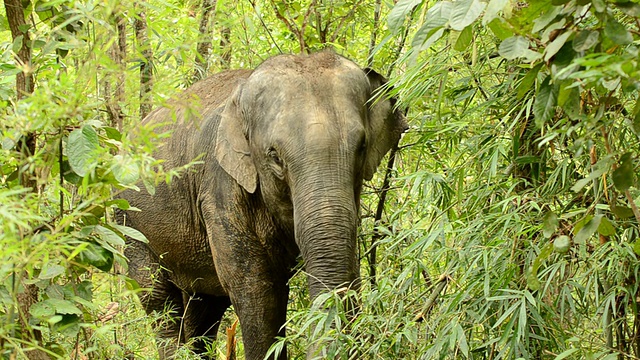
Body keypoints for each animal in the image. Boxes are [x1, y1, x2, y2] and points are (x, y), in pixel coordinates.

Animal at [119, 49, 408, 358]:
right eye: (275, 156)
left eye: (362, 147)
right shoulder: (220, 190)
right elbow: (256, 287)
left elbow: (347, 267)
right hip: (129, 223)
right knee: (158, 299)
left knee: (203, 308)